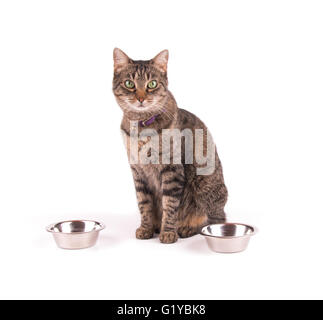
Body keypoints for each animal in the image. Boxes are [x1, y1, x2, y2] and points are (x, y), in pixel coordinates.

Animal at [113, 48, 228, 242]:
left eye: (152, 84)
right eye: (129, 83)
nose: (141, 98)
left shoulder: (172, 170)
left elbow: (170, 204)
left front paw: (167, 231)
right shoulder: (138, 172)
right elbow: (144, 203)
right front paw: (146, 228)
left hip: (204, 187)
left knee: (213, 220)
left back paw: (186, 228)